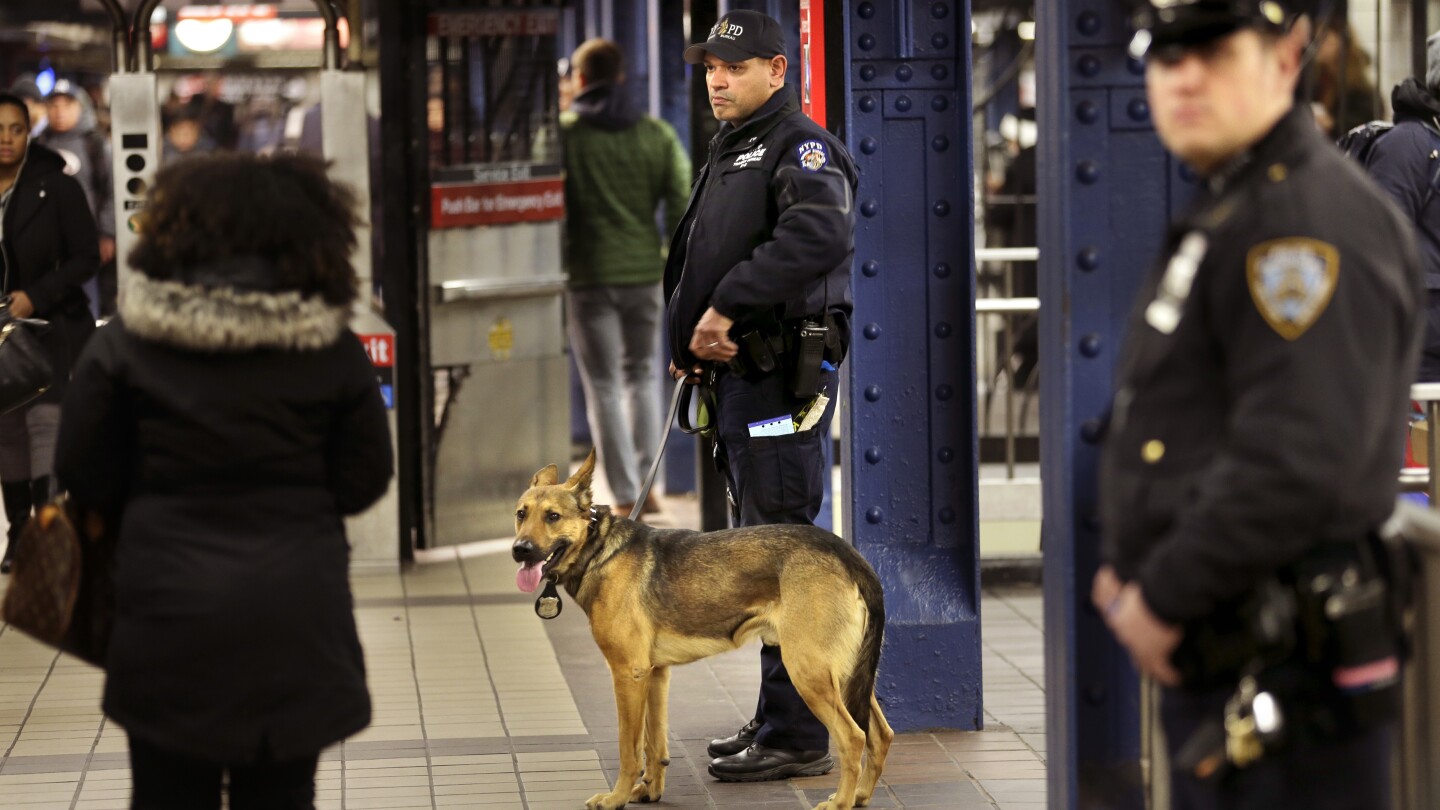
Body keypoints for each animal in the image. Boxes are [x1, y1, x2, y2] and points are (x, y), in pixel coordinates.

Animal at [506, 449, 887, 801]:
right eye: (520, 514)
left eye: (553, 516)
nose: (519, 550)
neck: (599, 550)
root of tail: (846, 552)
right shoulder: (654, 674)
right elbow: (654, 744)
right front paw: (649, 791)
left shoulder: (628, 674)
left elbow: (629, 749)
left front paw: (616, 798)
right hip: (845, 674)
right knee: (880, 735)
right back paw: (860, 795)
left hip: (808, 670)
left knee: (854, 738)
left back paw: (841, 801)